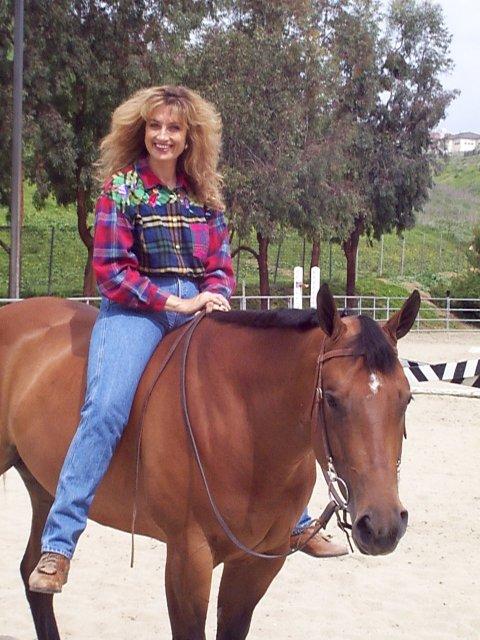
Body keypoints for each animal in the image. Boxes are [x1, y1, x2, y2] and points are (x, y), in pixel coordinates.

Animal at [0, 286, 420, 640]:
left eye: (406, 398)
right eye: (331, 398)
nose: (381, 526)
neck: (245, 424)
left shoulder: (259, 563)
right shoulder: (189, 559)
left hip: (43, 486)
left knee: (32, 573)